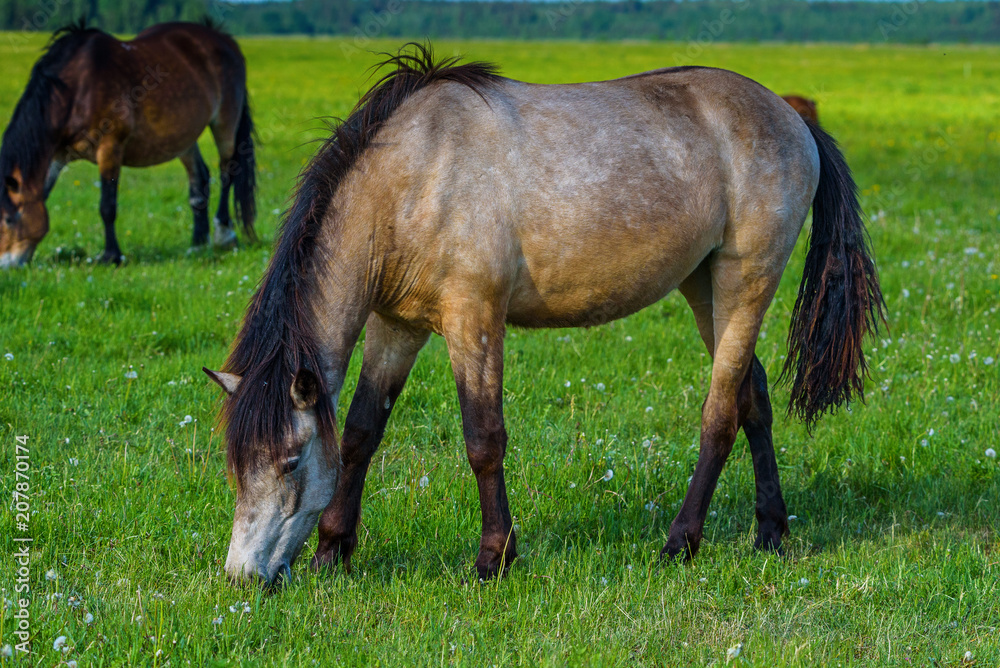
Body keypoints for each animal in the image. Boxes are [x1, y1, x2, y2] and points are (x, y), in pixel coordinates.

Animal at [1, 23, 258, 268]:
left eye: (8, 219)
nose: (6, 265)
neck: (77, 91)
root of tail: (223, 38)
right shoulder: (57, 155)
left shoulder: (110, 148)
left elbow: (107, 206)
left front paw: (111, 256)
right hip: (184, 137)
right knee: (200, 177)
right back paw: (198, 243)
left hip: (225, 122)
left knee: (227, 171)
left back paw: (223, 234)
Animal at [205, 47, 884, 588]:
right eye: (236, 466)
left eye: (289, 462)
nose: (242, 577)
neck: (414, 175)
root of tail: (794, 119)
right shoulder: (396, 326)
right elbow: (360, 435)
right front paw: (334, 551)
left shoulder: (474, 319)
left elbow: (484, 440)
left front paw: (494, 558)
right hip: (703, 287)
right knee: (753, 397)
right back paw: (771, 532)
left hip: (747, 281)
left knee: (719, 415)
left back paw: (680, 542)